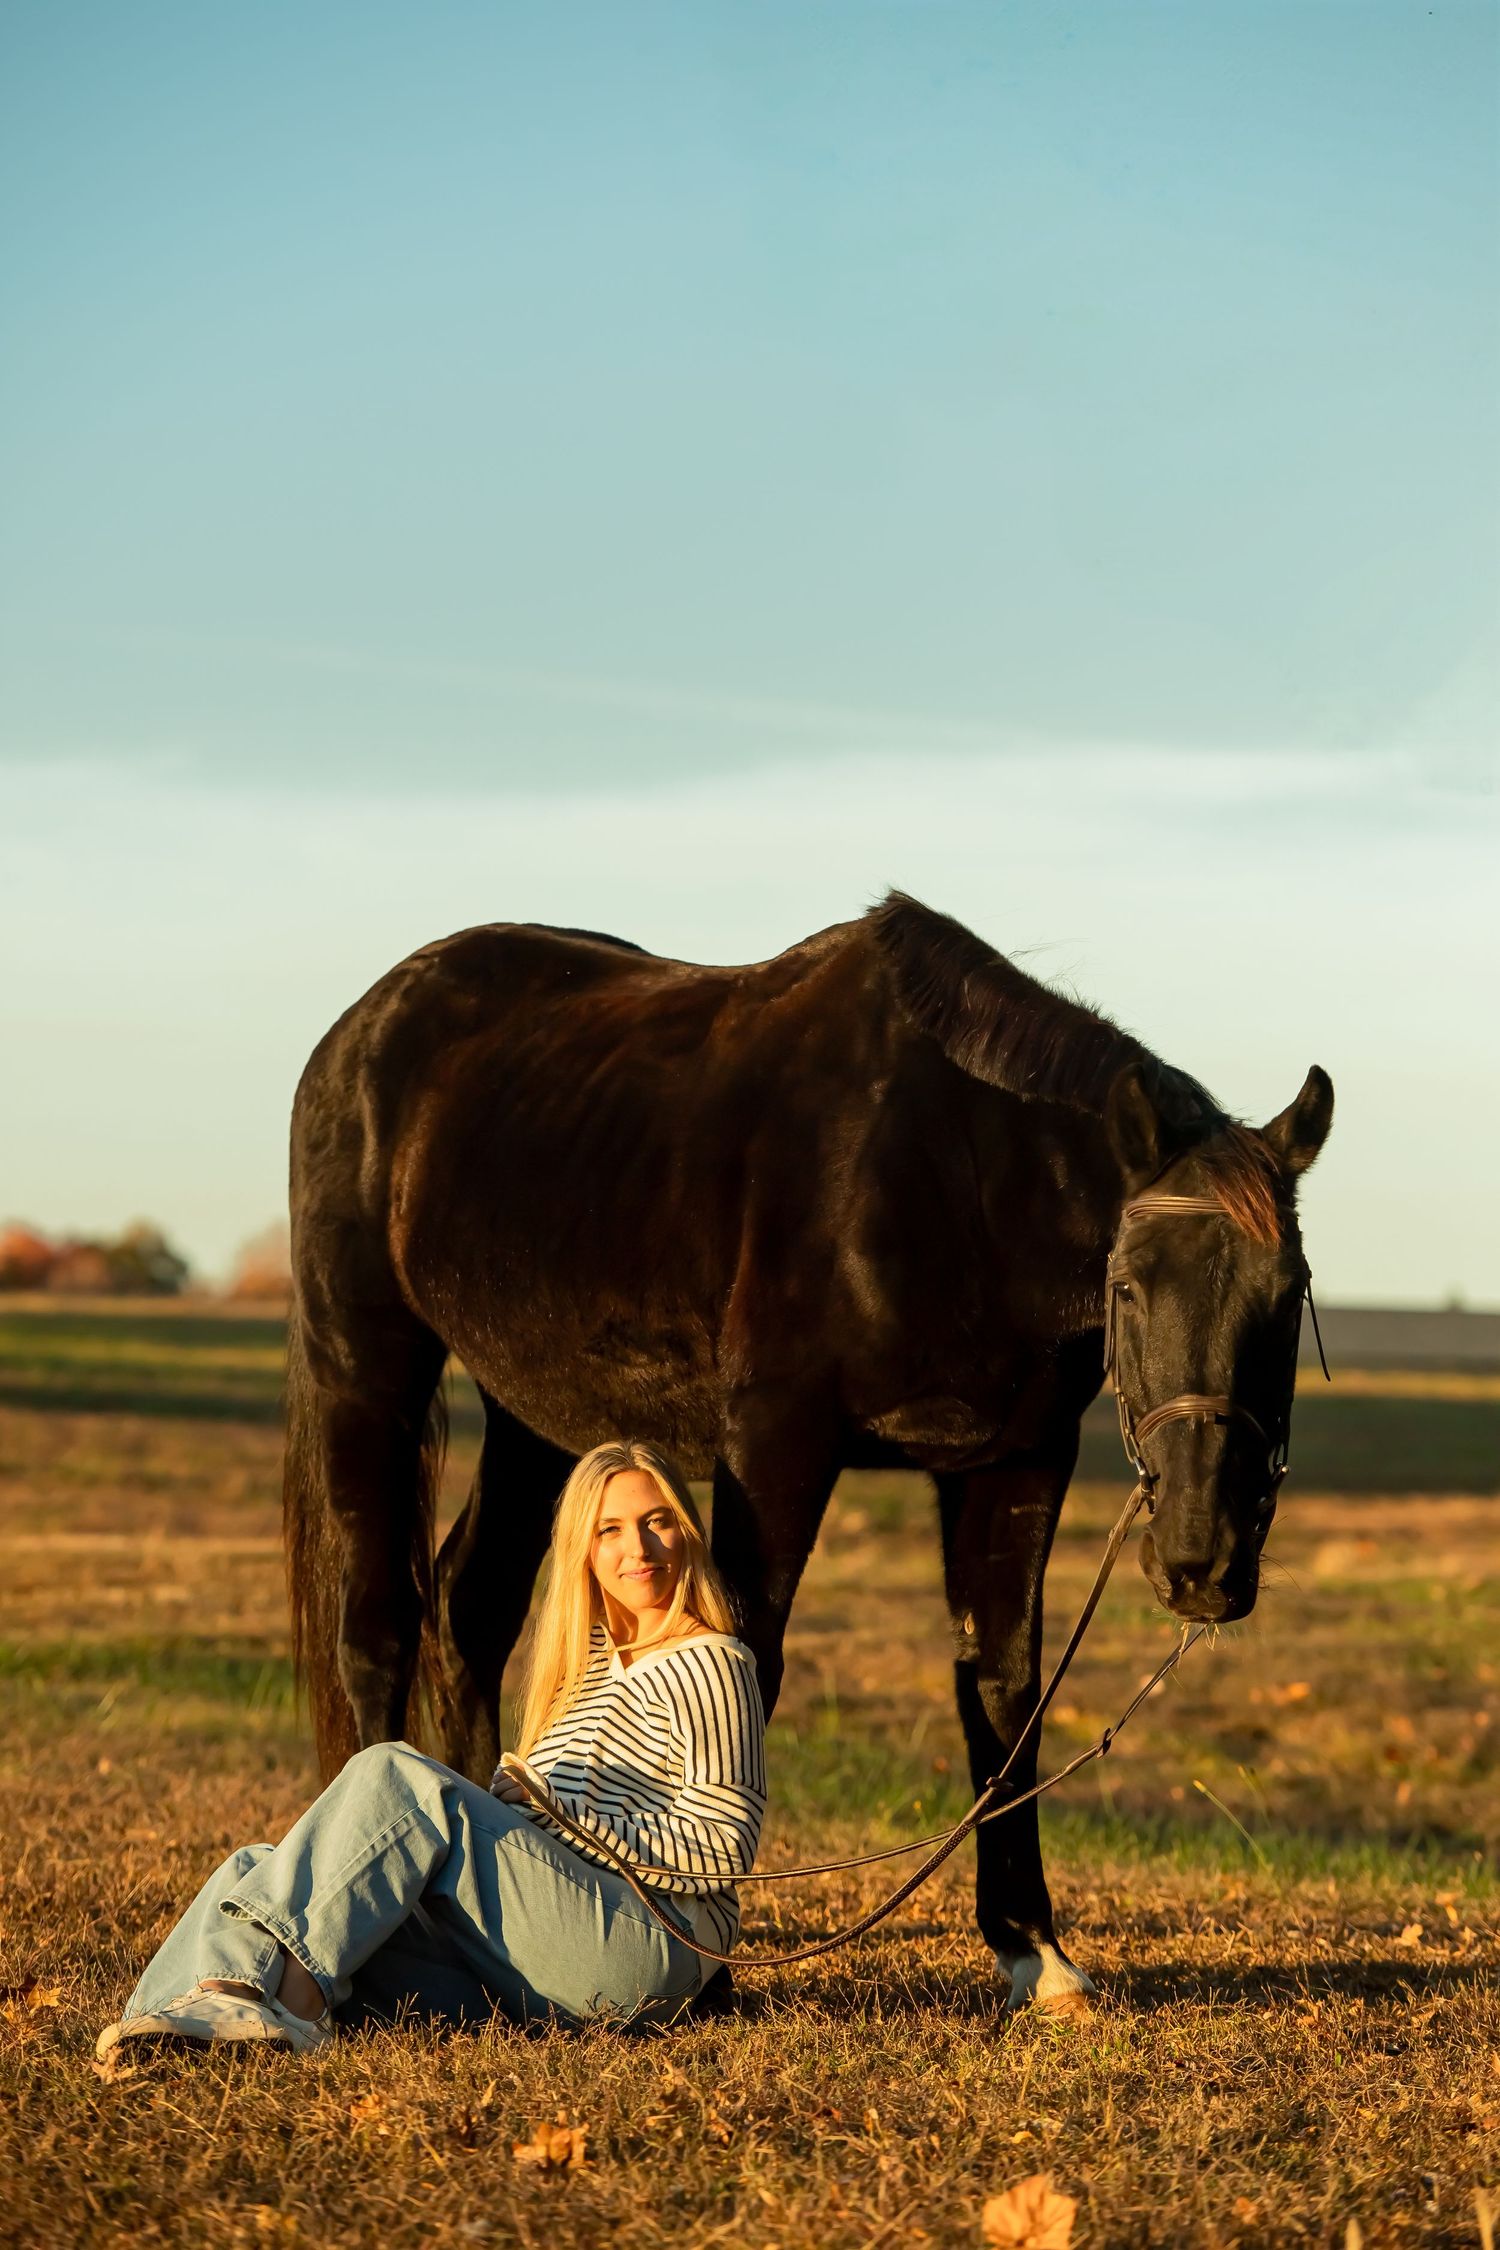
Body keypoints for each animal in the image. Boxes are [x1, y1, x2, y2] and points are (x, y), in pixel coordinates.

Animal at [283, 891, 1332, 2010]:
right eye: (1130, 1285)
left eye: (1287, 1296)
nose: (1203, 1561)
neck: (952, 1173)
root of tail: (362, 1027)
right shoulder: (777, 1443)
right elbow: (753, 1658)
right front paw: (715, 1969)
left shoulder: (1013, 1464)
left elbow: (1004, 1688)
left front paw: (1031, 1948)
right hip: (366, 1369)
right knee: (377, 1624)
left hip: (536, 1414)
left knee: (470, 1608)